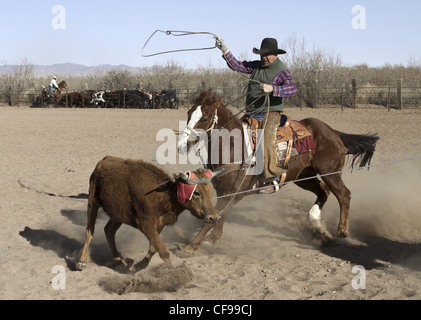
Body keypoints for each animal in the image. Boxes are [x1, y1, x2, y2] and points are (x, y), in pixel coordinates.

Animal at [176, 90, 378, 252]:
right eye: (188, 114)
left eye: (204, 118)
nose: (181, 145)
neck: (234, 146)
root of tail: (333, 132)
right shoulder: (225, 192)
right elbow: (218, 215)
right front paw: (213, 239)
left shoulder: (236, 192)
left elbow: (213, 217)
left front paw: (191, 246)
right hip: (303, 176)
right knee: (324, 191)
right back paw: (316, 222)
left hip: (331, 172)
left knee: (344, 194)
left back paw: (341, 231)